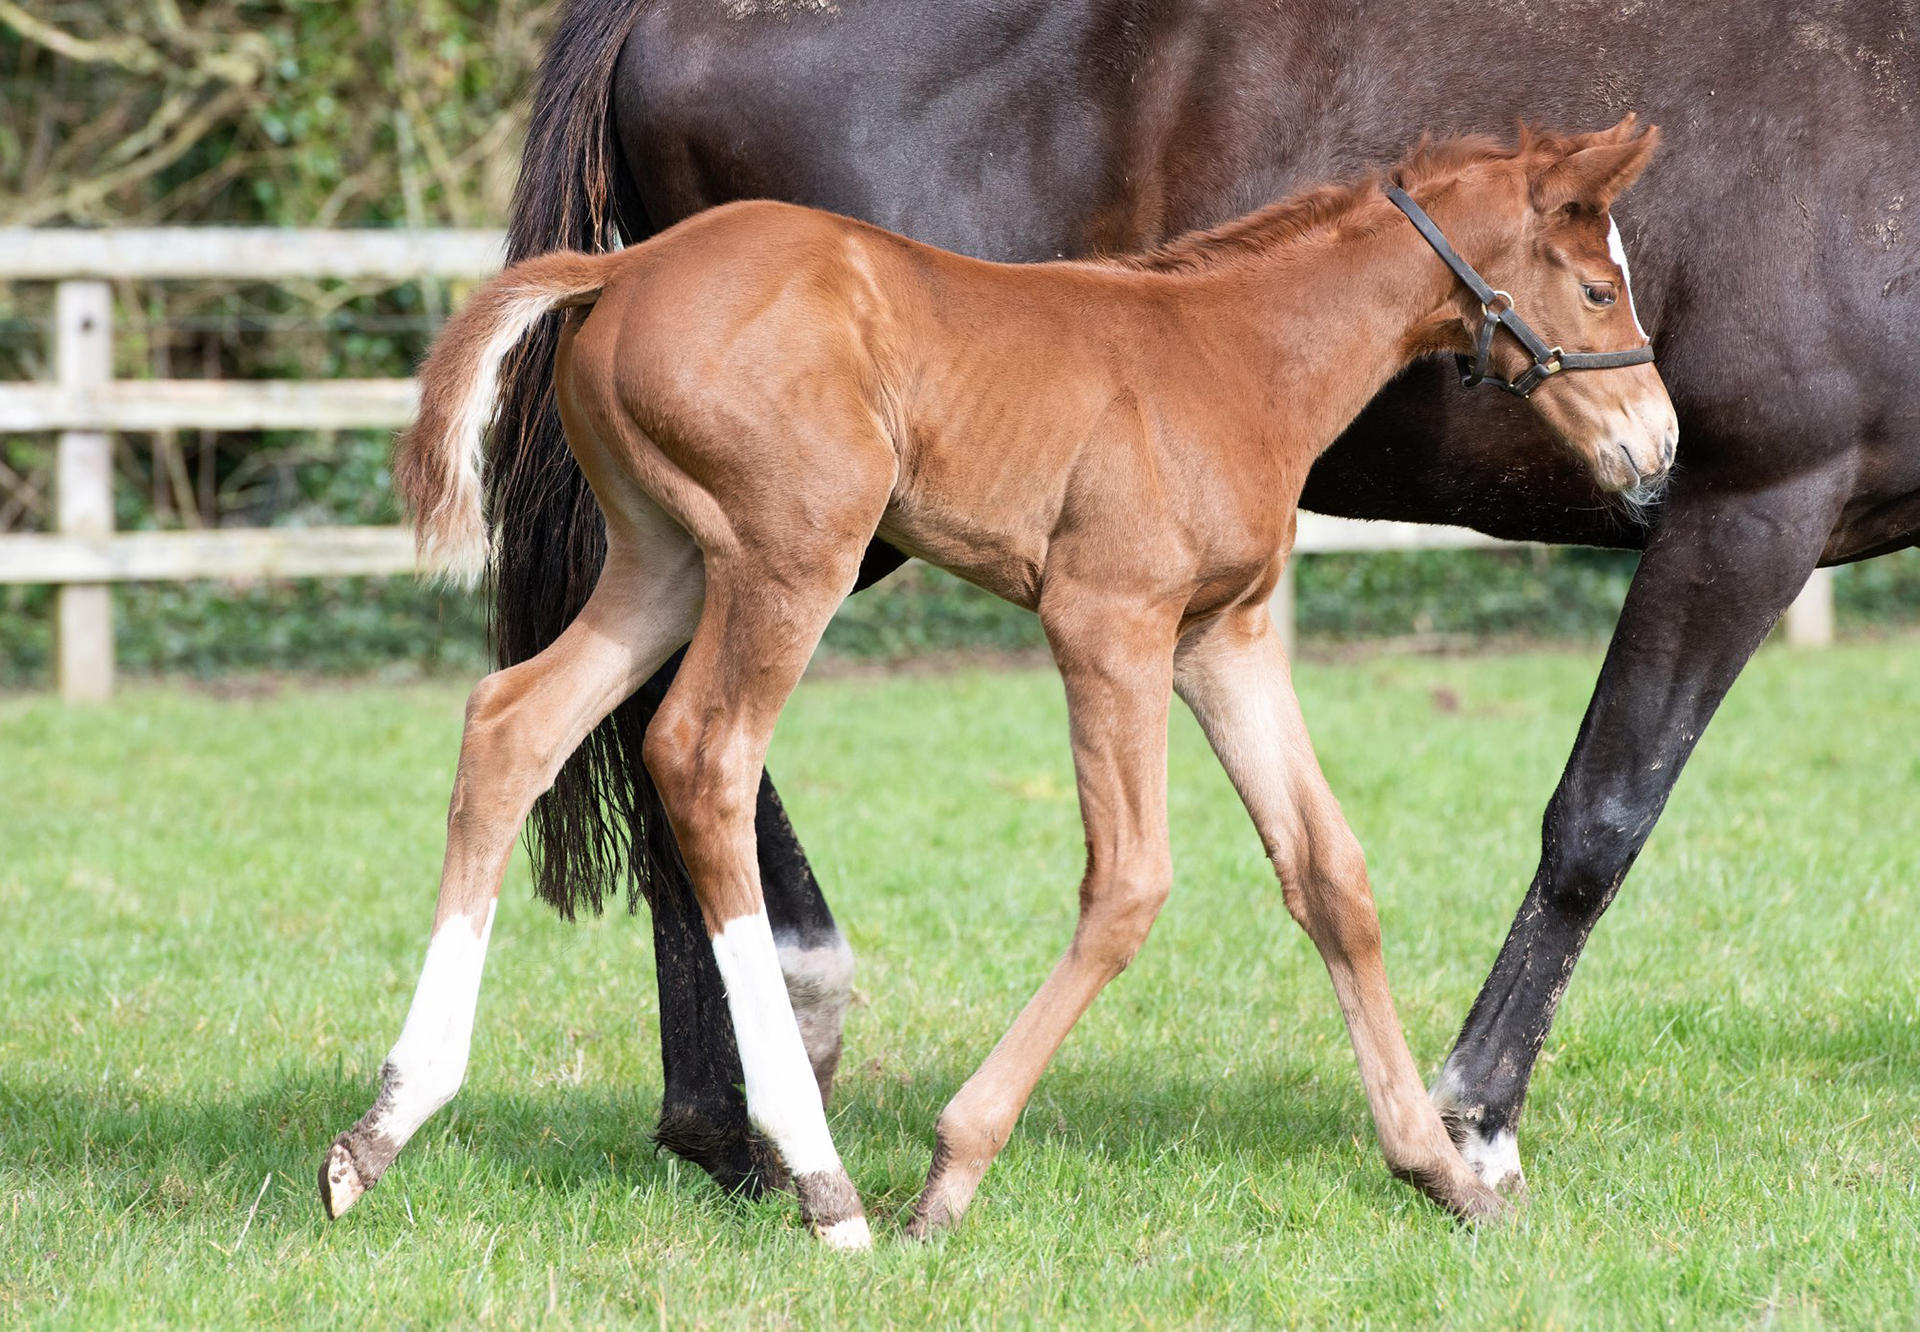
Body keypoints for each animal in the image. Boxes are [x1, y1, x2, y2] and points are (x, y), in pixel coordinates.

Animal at [330, 119, 1681, 1243]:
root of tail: (622, 271)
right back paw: (825, 1187)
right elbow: (1130, 884)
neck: (1237, 353)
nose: (1660, 444)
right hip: (791, 553)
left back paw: (385, 1124)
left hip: (662, 562)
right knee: (701, 755)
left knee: (513, 723)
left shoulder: (1223, 638)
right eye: (1598, 284)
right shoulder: (1108, 624)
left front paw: (1442, 1172)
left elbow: (1329, 873)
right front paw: (952, 1171)